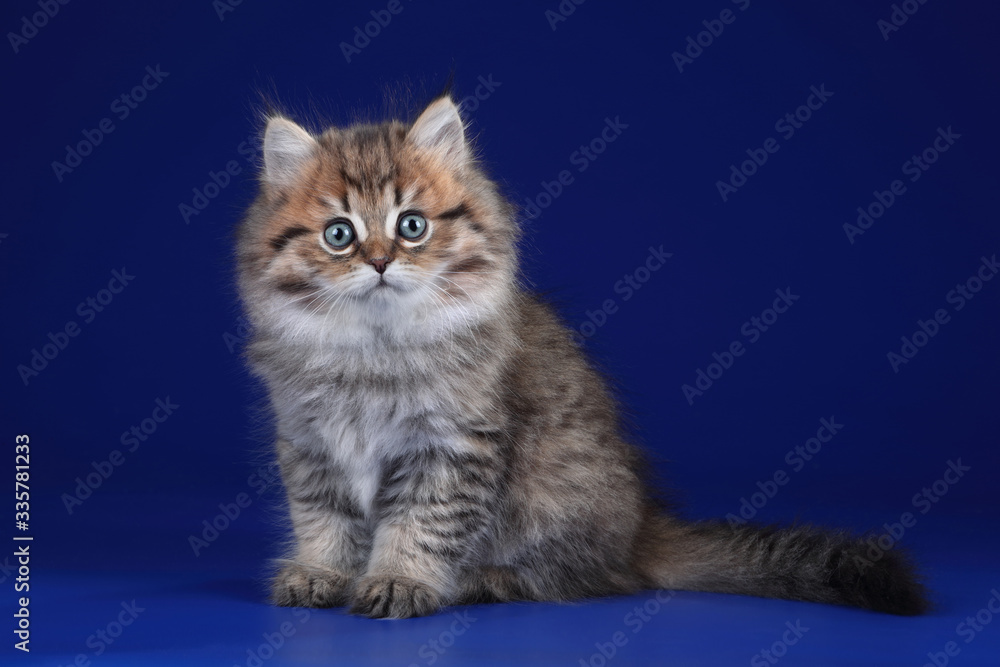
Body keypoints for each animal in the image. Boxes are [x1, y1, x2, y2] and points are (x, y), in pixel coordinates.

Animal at [236, 94, 928, 620]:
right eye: (340, 235)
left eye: (411, 226)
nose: (380, 261)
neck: (372, 350)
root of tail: (641, 527)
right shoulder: (310, 442)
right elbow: (324, 521)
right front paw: (321, 573)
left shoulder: (451, 446)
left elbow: (419, 526)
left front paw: (399, 581)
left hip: (556, 498)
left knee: (592, 579)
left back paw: (487, 580)